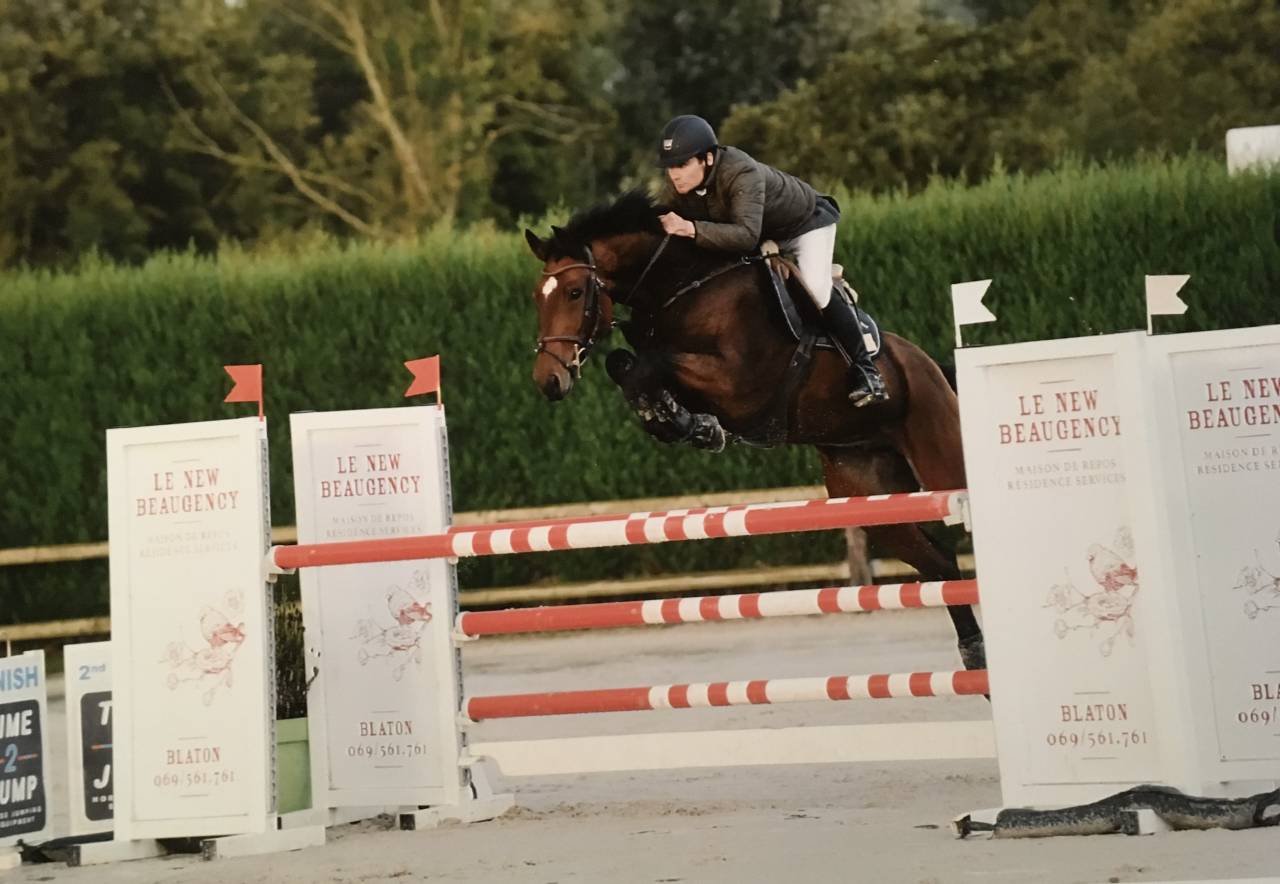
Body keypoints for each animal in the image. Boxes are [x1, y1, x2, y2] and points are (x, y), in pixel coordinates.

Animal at [524, 191, 984, 671]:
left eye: (575, 292)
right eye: (538, 298)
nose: (549, 381)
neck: (682, 289)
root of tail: (931, 366)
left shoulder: (739, 385)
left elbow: (652, 363)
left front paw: (685, 422)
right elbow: (626, 364)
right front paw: (681, 422)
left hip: (943, 459)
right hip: (871, 497)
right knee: (939, 563)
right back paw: (975, 654)